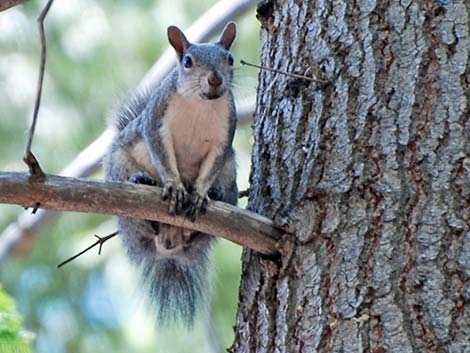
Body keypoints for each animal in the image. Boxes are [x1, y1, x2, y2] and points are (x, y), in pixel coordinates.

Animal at [104, 21, 237, 324]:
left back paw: (214, 199)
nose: (215, 80)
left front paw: (200, 193)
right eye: (187, 61)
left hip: (231, 174)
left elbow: (211, 167)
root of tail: (169, 243)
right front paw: (175, 186)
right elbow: (162, 155)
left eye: (230, 59)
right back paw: (141, 181)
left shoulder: (224, 139)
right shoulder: (156, 123)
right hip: (120, 168)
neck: (201, 103)